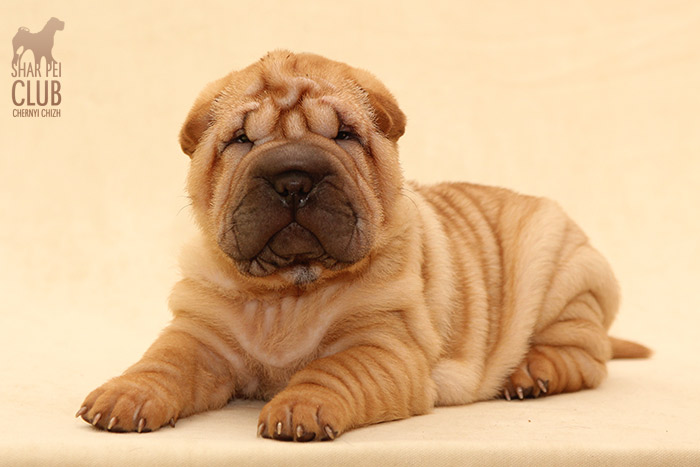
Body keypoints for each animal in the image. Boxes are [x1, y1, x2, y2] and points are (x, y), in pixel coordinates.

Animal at [77, 51, 650, 440]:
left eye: (346, 135)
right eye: (240, 140)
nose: (293, 179)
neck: (288, 293)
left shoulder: (384, 347)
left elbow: (332, 370)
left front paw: (300, 407)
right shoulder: (199, 333)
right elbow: (163, 362)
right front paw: (125, 394)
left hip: (566, 278)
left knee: (586, 356)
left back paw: (533, 372)